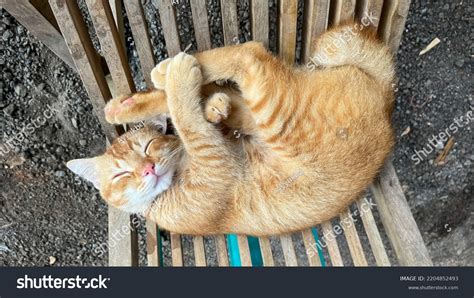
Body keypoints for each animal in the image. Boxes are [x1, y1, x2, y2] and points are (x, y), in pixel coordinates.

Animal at [65, 24, 392, 236]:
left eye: (147, 146)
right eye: (120, 175)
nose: (148, 169)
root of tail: (386, 103)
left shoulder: (211, 149)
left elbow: (184, 113)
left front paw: (195, 96)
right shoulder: (214, 153)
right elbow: (188, 116)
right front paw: (205, 101)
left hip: (272, 112)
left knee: (250, 52)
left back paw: (158, 78)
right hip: (269, 113)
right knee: (250, 57)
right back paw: (154, 84)